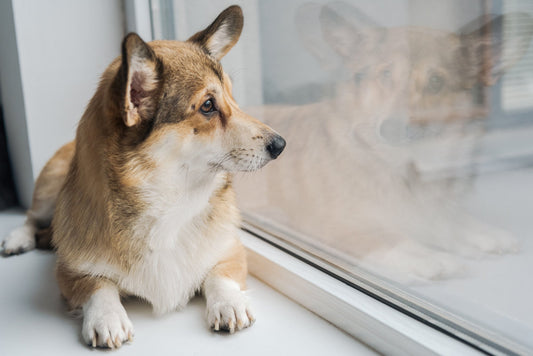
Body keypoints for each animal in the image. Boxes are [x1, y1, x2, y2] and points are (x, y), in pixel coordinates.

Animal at [2, 5, 284, 350]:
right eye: (207, 105)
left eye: (232, 97)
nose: (281, 145)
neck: (171, 199)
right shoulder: (71, 273)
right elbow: (99, 286)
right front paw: (107, 318)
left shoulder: (230, 249)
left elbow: (220, 274)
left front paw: (229, 303)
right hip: (48, 186)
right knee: (31, 216)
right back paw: (17, 239)